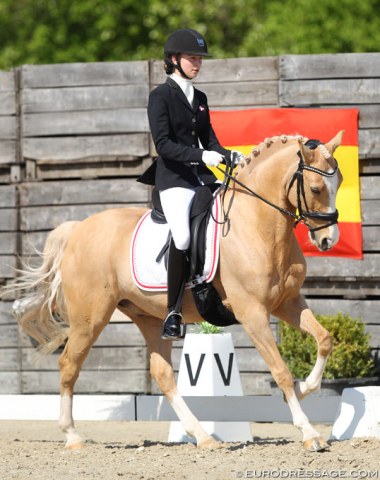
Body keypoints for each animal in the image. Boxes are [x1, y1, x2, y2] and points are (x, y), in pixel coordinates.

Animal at [5, 130, 344, 450]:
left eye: (339, 183)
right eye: (316, 188)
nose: (328, 240)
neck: (259, 226)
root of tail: (78, 228)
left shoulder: (287, 303)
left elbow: (325, 340)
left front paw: (304, 389)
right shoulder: (252, 313)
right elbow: (281, 370)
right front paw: (310, 433)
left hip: (149, 317)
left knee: (163, 374)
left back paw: (203, 436)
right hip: (90, 318)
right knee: (69, 365)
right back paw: (72, 436)